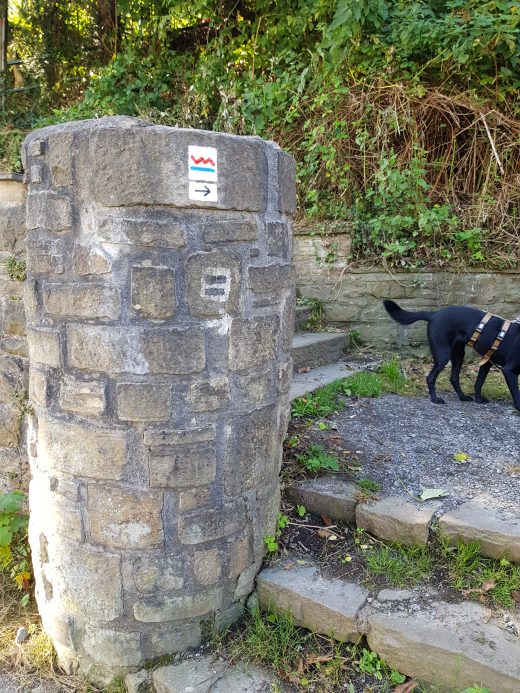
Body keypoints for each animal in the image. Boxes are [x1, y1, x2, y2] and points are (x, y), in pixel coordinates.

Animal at [382, 298, 520, 410]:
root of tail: (434, 314)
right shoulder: (509, 371)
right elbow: (517, 393)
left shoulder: (487, 362)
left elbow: (479, 382)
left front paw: (478, 399)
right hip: (444, 355)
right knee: (430, 378)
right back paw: (435, 399)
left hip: (458, 354)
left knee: (453, 378)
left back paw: (462, 396)